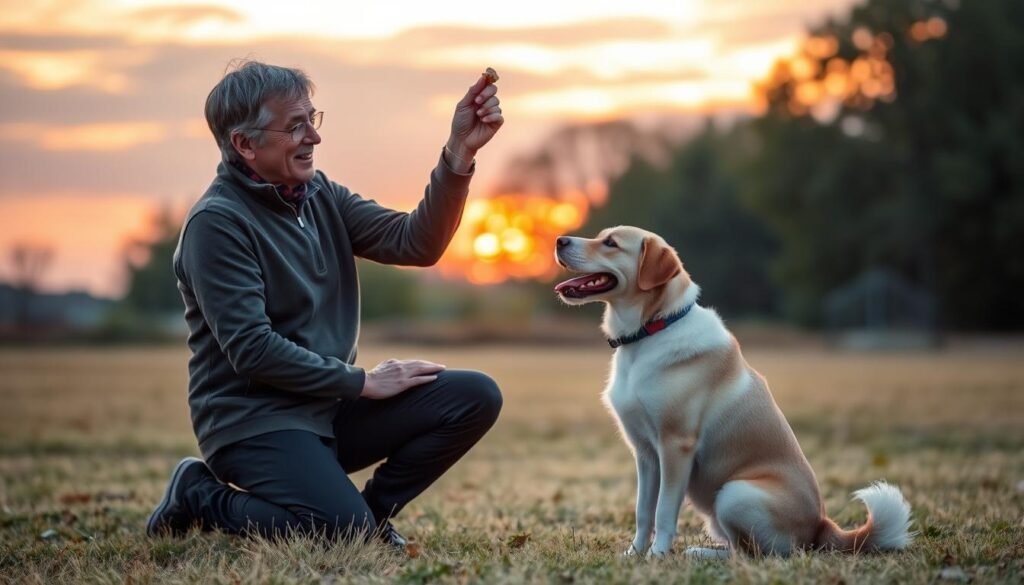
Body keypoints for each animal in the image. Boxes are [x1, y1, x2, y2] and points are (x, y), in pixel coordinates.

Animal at [552, 225, 913, 557]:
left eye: (611, 243)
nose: (559, 240)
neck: (650, 330)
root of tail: (822, 527)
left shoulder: (675, 446)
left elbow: (664, 511)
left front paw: (657, 555)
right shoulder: (645, 453)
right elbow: (643, 512)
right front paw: (635, 554)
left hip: (734, 494)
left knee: (754, 554)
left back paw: (701, 554)